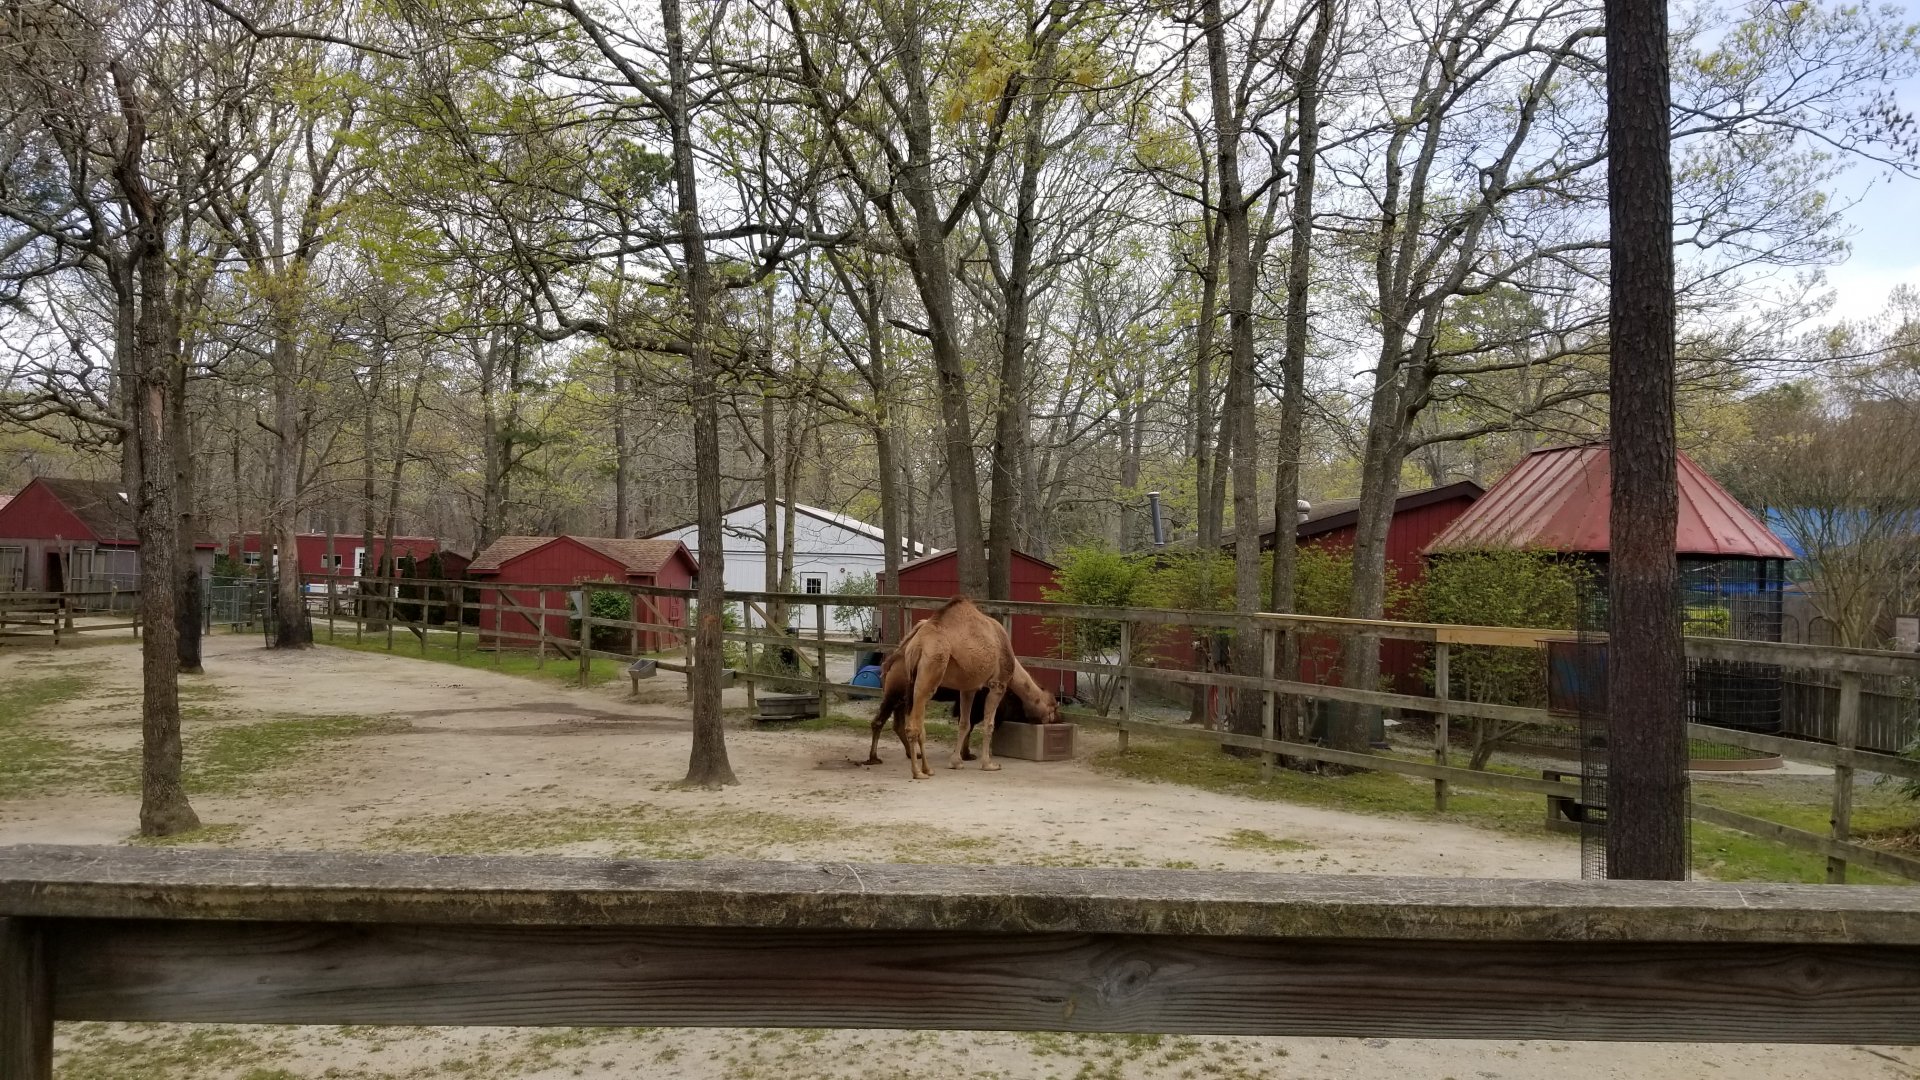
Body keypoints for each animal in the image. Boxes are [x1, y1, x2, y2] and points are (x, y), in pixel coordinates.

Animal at [865, 597, 1060, 779]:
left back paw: (921, 764)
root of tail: (911, 649)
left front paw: (957, 761)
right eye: (1053, 708)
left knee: (904, 724)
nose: (1058, 719)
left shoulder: (969, 689)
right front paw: (987, 763)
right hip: (915, 683)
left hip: (907, 692)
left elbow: (964, 724)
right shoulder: (997, 684)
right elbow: (987, 724)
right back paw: (909, 769)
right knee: (899, 724)